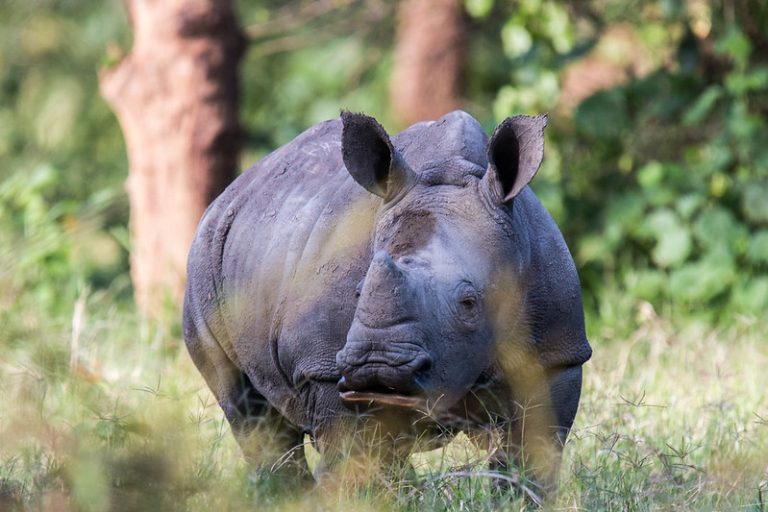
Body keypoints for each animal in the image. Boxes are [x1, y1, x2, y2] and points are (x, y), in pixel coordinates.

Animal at [183, 110, 592, 488]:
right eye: (359, 291)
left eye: (469, 302)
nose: (379, 365)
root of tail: (237, 187)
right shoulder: (324, 367)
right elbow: (355, 457)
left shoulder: (556, 355)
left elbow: (529, 459)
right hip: (205, 256)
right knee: (249, 412)